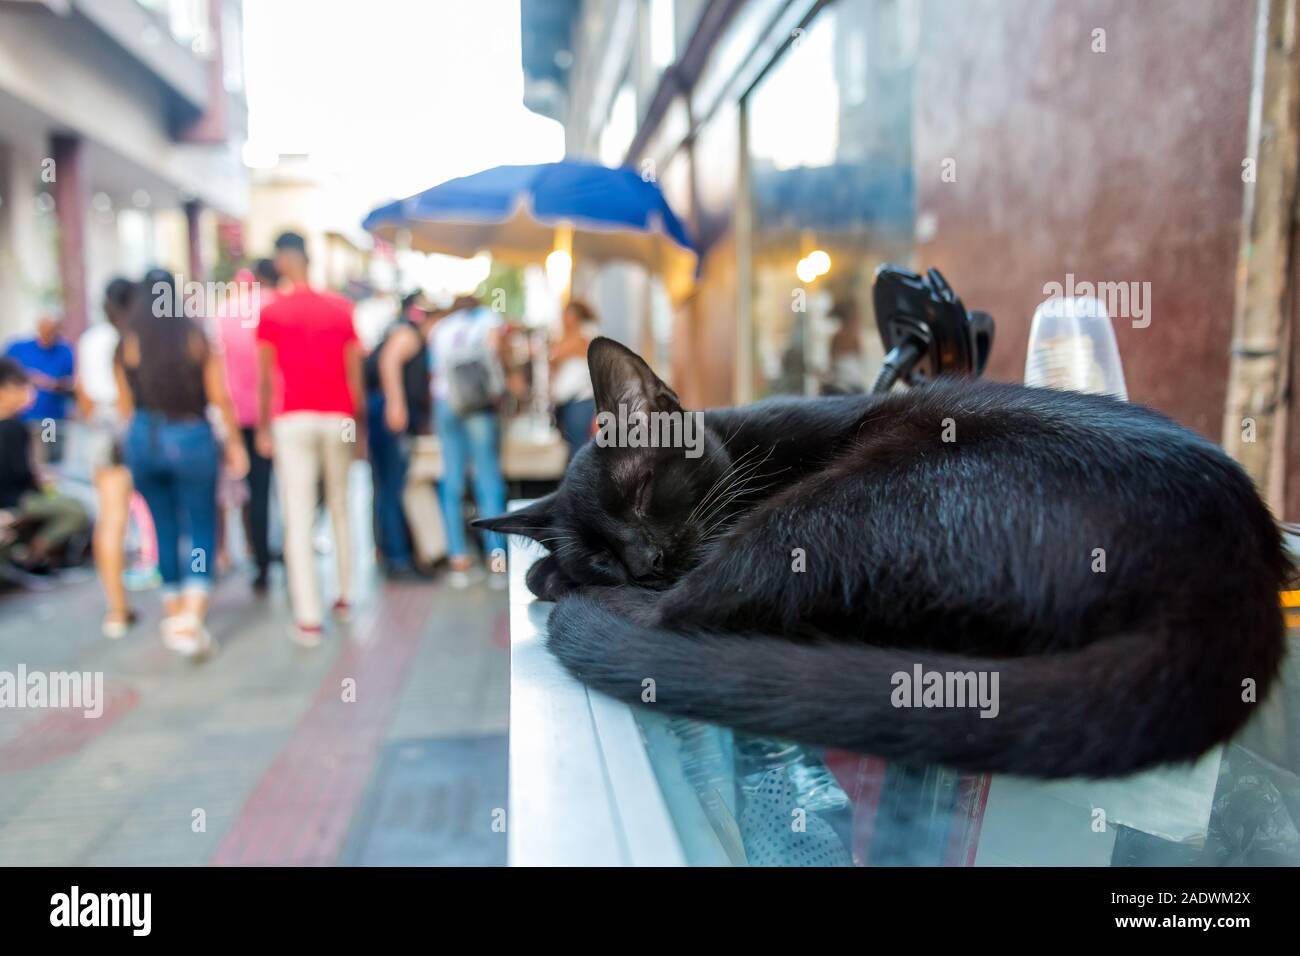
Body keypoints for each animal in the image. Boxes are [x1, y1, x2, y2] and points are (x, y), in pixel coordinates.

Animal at [478, 335, 1289, 780]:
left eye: (645, 490)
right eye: (603, 552)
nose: (642, 560)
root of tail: (1238, 562)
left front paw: (552, 577)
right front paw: (555, 567)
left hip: (835, 505)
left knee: (682, 611)